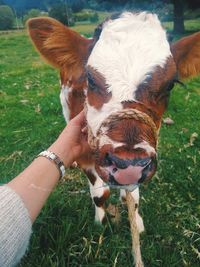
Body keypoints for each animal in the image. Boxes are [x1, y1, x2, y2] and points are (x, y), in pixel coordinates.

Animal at [27, 11, 200, 264]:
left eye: (170, 85)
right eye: (90, 79)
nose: (128, 164)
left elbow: (134, 196)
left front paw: (136, 222)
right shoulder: (87, 155)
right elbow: (100, 193)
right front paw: (100, 223)